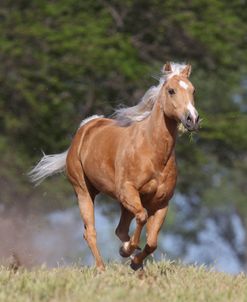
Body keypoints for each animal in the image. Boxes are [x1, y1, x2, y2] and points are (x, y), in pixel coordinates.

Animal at [29, 62, 200, 270]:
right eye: (171, 90)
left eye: (193, 90)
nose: (192, 119)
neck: (154, 153)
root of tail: (86, 127)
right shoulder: (127, 191)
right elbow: (142, 217)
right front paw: (127, 251)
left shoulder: (161, 202)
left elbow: (152, 242)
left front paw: (134, 260)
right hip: (84, 191)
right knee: (91, 232)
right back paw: (102, 268)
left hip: (122, 203)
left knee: (120, 230)